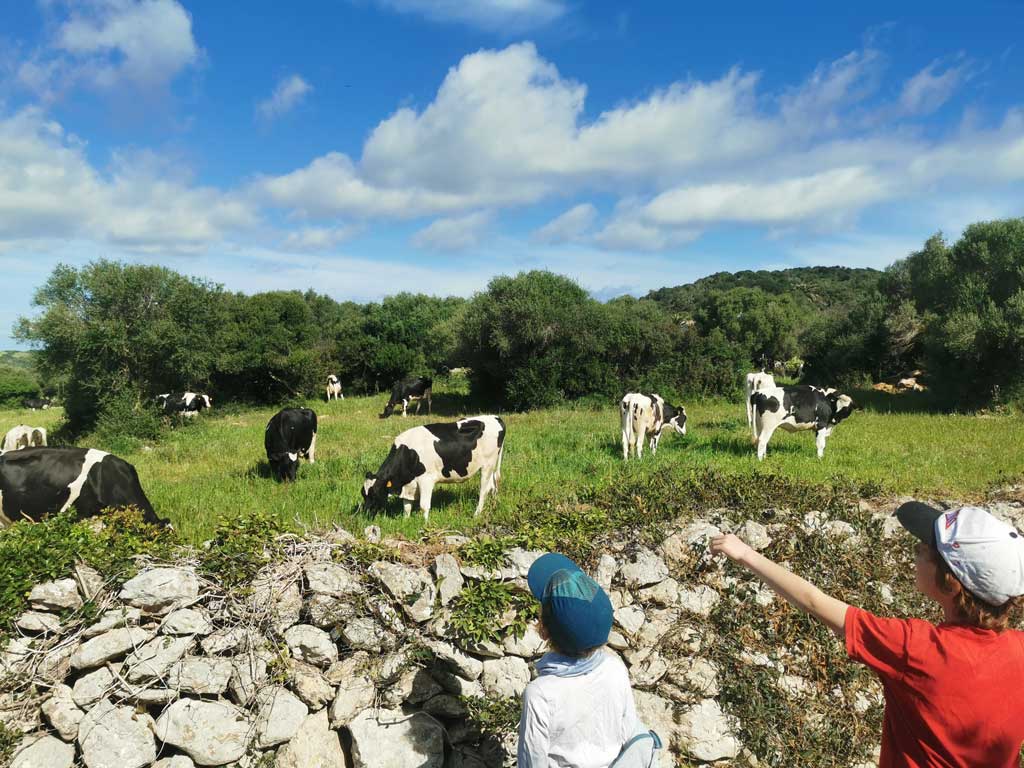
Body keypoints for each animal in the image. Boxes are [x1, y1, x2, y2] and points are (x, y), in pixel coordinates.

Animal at [362, 415, 505, 524]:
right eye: (363, 495)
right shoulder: (409, 483)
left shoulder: (426, 480)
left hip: (487, 465)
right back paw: (493, 506)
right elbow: (407, 506)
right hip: (489, 466)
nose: (366, 515)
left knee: (484, 490)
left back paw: (476, 514)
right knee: (492, 486)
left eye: (375, 494)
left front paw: (425, 524)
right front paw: (405, 521)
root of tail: (495, 417)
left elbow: (424, 505)